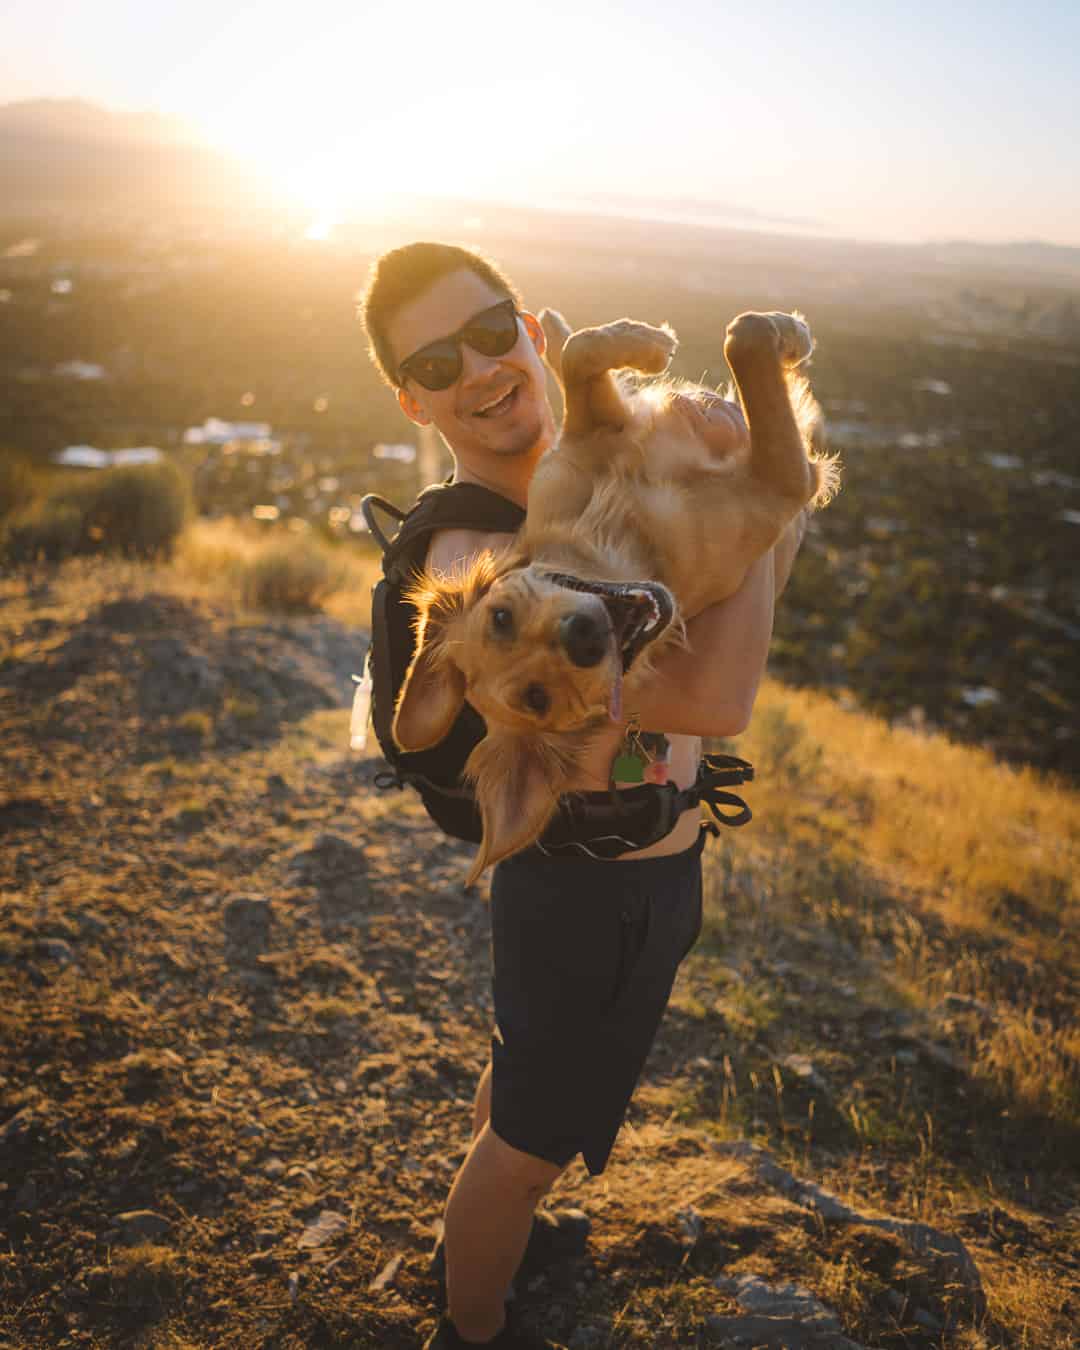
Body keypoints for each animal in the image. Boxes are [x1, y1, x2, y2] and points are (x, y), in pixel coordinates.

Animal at [391, 307, 837, 880]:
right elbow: (744, 342)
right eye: (538, 699)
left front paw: (642, 344)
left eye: (501, 616)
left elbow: (581, 355)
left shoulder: (586, 438)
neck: (619, 537)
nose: (584, 636)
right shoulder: (780, 481)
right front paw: (782, 335)